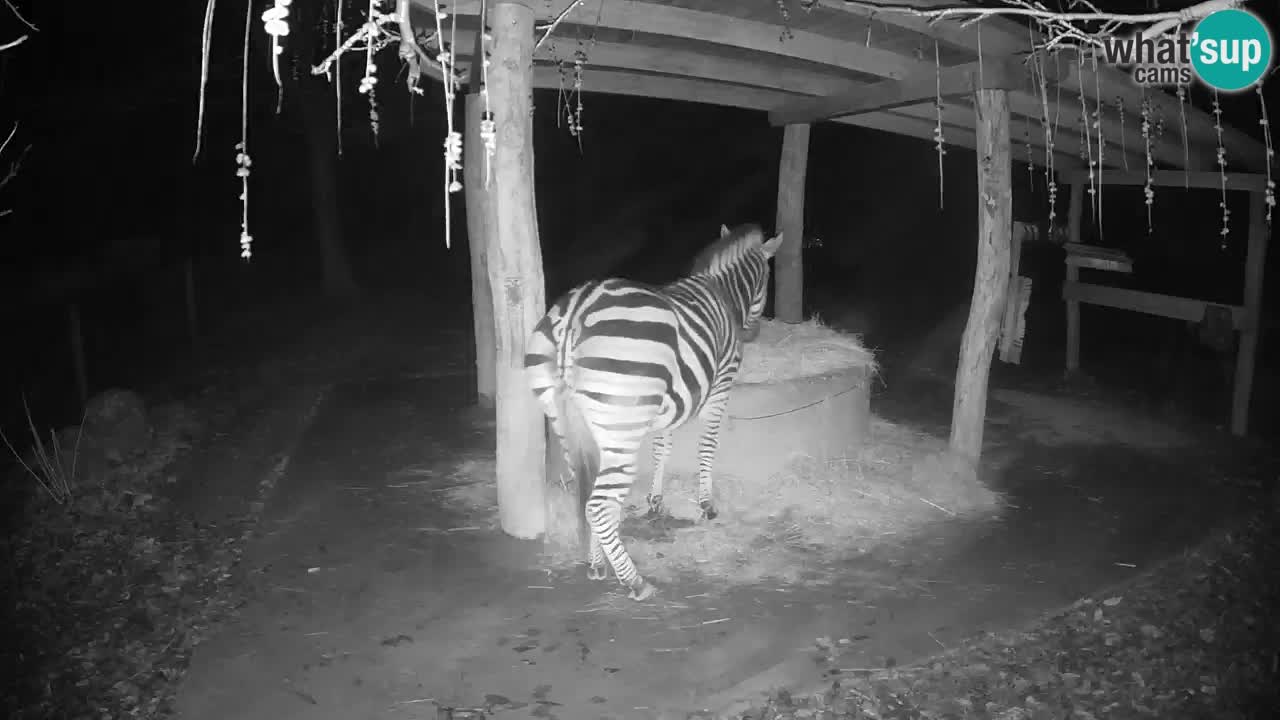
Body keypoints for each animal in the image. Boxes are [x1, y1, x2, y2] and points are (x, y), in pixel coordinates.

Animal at [524, 221, 783, 597]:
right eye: (765, 282)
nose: (754, 333)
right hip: (621, 429)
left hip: (569, 423)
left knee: (585, 493)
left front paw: (656, 500)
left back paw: (597, 564)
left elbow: (663, 446)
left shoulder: (674, 397)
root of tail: (576, 312)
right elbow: (707, 445)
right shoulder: (720, 385)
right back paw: (634, 580)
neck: (723, 292)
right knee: (598, 505)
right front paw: (706, 504)